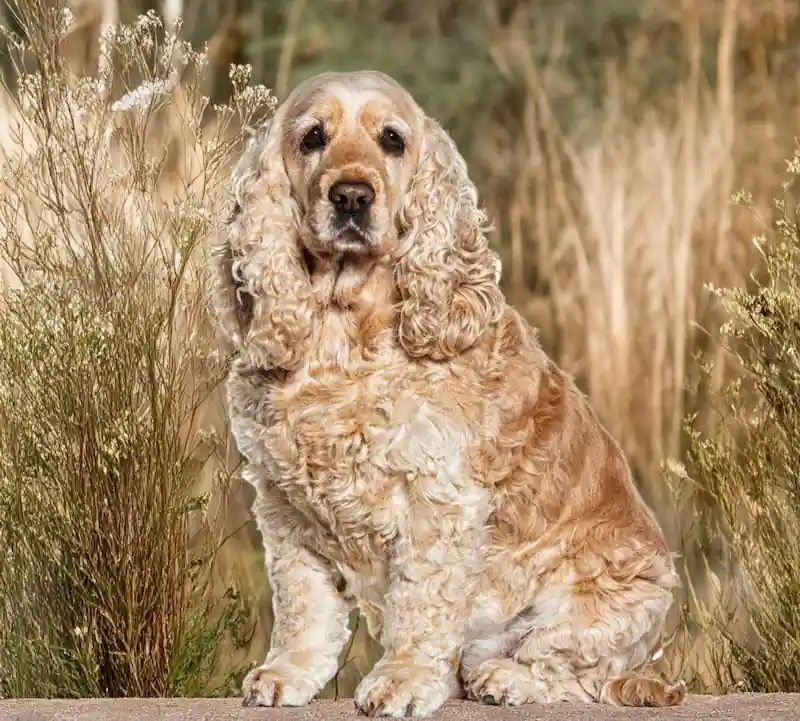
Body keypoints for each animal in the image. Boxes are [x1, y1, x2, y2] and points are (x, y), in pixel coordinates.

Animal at [209, 71, 684, 716]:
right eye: (312, 138)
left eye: (392, 139)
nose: (351, 196)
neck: (342, 333)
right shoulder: (285, 507)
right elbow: (303, 603)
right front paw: (287, 673)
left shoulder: (438, 499)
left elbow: (421, 604)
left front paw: (402, 681)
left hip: (607, 604)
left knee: (572, 674)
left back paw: (506, 679)